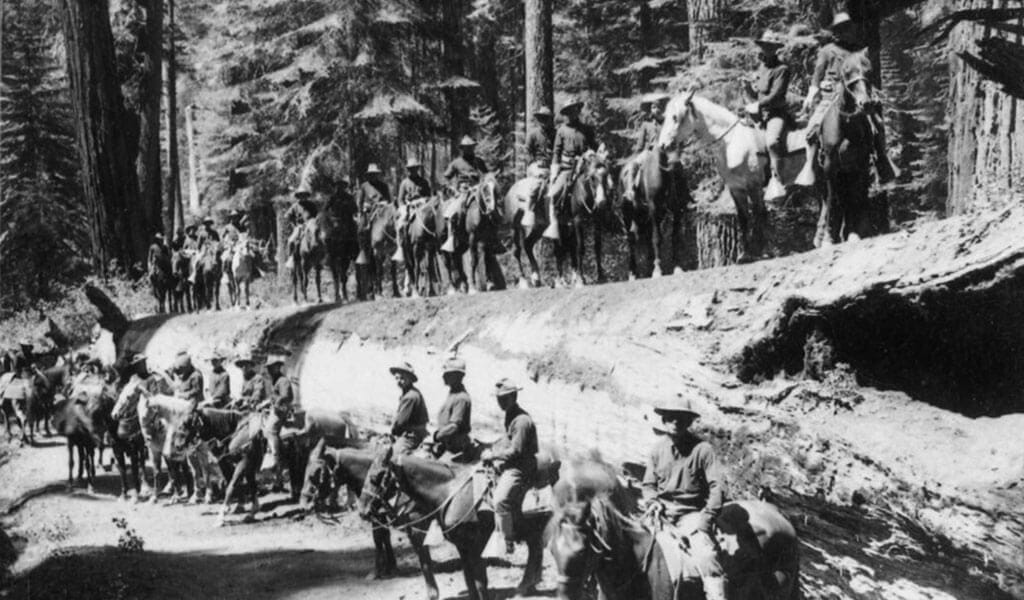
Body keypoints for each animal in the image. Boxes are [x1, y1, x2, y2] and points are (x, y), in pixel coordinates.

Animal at [362, 442, 552, 593]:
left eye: (375, 477)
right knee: (535, 544)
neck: (449, 491)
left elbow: (480, 583)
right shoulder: (462, 546)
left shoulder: (474, 546)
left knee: (536, 545)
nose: (363, 510)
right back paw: (528, 585)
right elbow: (469, 581)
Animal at [618, 147, 692, 278]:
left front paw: (677, 267)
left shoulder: (676, 212)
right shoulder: (654, 211)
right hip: (627, 216)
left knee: (645, 239)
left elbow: (675, 238)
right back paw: (632, 273)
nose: (683, 196)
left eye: (680, 173)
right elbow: (657, 238)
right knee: (631, 239)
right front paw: (657, 270)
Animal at [659, 92, 811, 260]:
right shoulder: (736, 188)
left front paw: (760, 250)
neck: (732, 142)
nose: (662, 145)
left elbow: (759, 214)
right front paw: (745, 254)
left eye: (675, 117)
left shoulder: (754, 186)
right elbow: (743, 218)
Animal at [811, 48, 876, 245]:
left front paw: (854, 233)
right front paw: (828, 238)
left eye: (868, 70)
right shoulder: (830, 166)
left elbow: (855, 197)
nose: (866, 103)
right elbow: (833, 199)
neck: (846, 126)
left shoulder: (860, 165)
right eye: (846, 72)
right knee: (827, 199)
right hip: (822, 176)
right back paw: (821, 236)